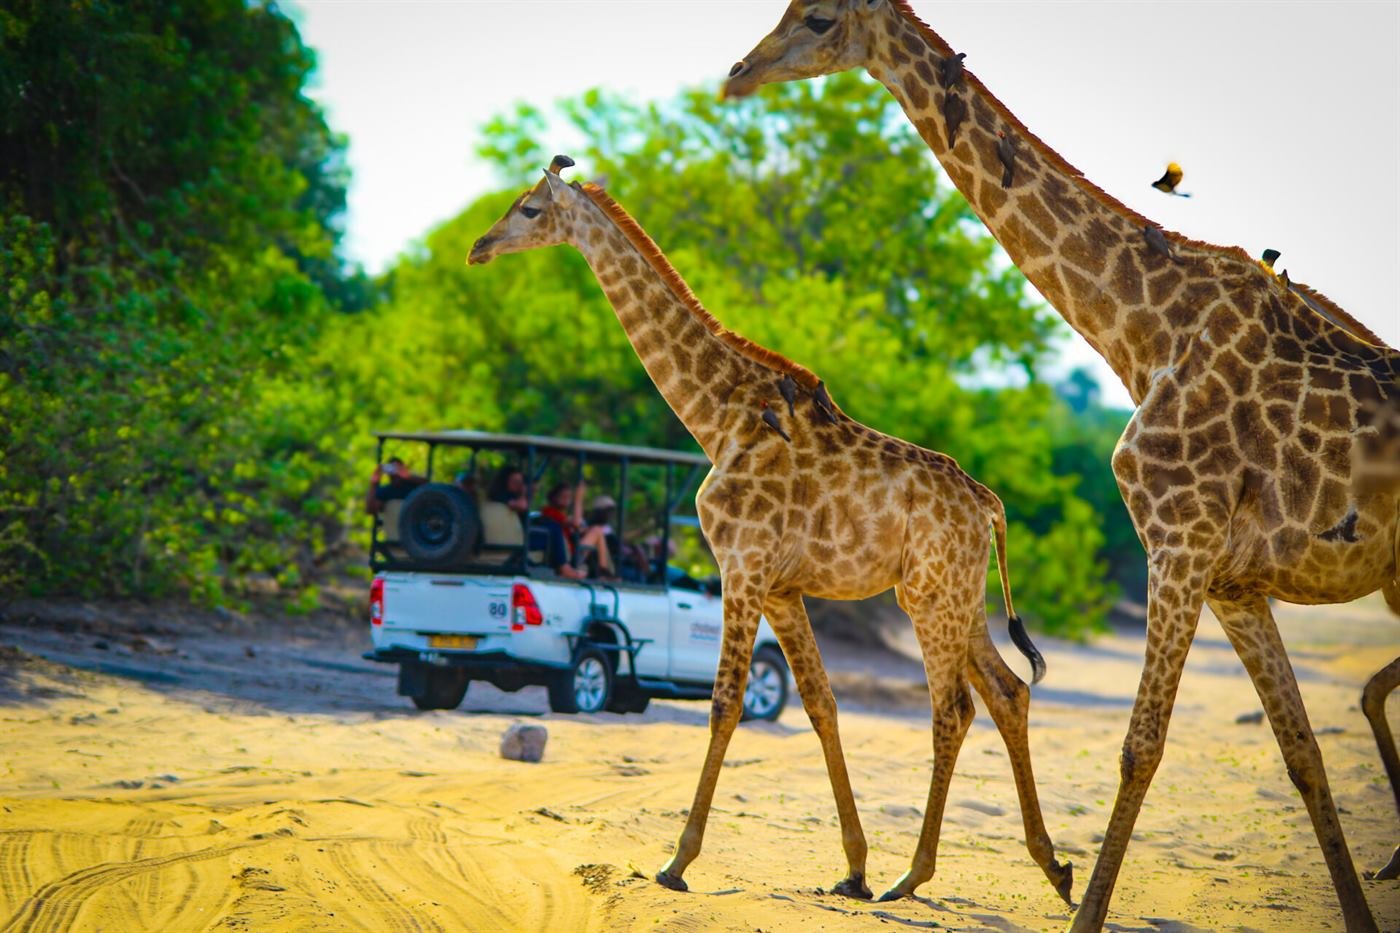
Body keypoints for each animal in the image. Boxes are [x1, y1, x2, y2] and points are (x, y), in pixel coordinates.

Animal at [468, 156, 1074, 904]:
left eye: (528, 209)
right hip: (955, 594)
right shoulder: (783, 587)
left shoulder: (742, 566)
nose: (478, 248)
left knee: (954, 706)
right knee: (1007, 690)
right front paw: (852, 868)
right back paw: (1052, 866)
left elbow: (727, 701)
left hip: (930, 597)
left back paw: (915, 874)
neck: (716, 416)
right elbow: (820, 703)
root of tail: (988, 503)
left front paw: (677, 862)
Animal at [719, 1, 1399, 929]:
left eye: (819, 20)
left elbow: (1141, 746)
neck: (1145, 332)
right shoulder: (1232, 579)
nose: (737, 74)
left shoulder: (1179, 544)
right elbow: (1301, 752)